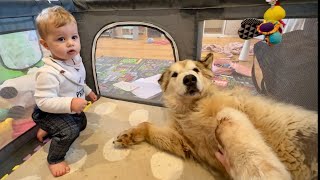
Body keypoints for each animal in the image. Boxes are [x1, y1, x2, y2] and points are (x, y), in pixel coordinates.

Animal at [114, 53, 318, 180]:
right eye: (174, 75)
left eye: (195, 70)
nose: (189, 79)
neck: (194, 107)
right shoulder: (183, 142)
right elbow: (147, 125)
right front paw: (129, 135)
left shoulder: (234, 112)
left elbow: (236, 133)